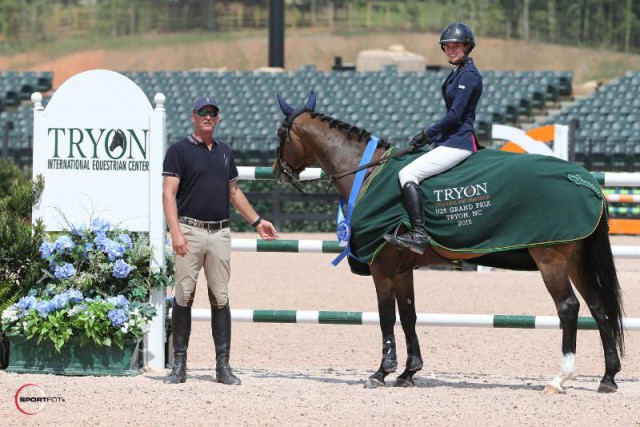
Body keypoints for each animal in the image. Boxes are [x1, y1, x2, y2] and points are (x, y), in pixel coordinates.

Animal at [272, 92, 624, 392]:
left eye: (280, 134)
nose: (278, 173)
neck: (367, 174)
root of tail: (585, 180)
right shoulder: (402, 269)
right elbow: (409, 314)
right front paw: (409, 372)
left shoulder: (381, 267)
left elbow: (386, 316)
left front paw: (382, 372)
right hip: (576, 258)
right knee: (598, 307)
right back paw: (608, 377)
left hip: (550, 258)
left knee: (569, 307)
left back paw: (559, 378)